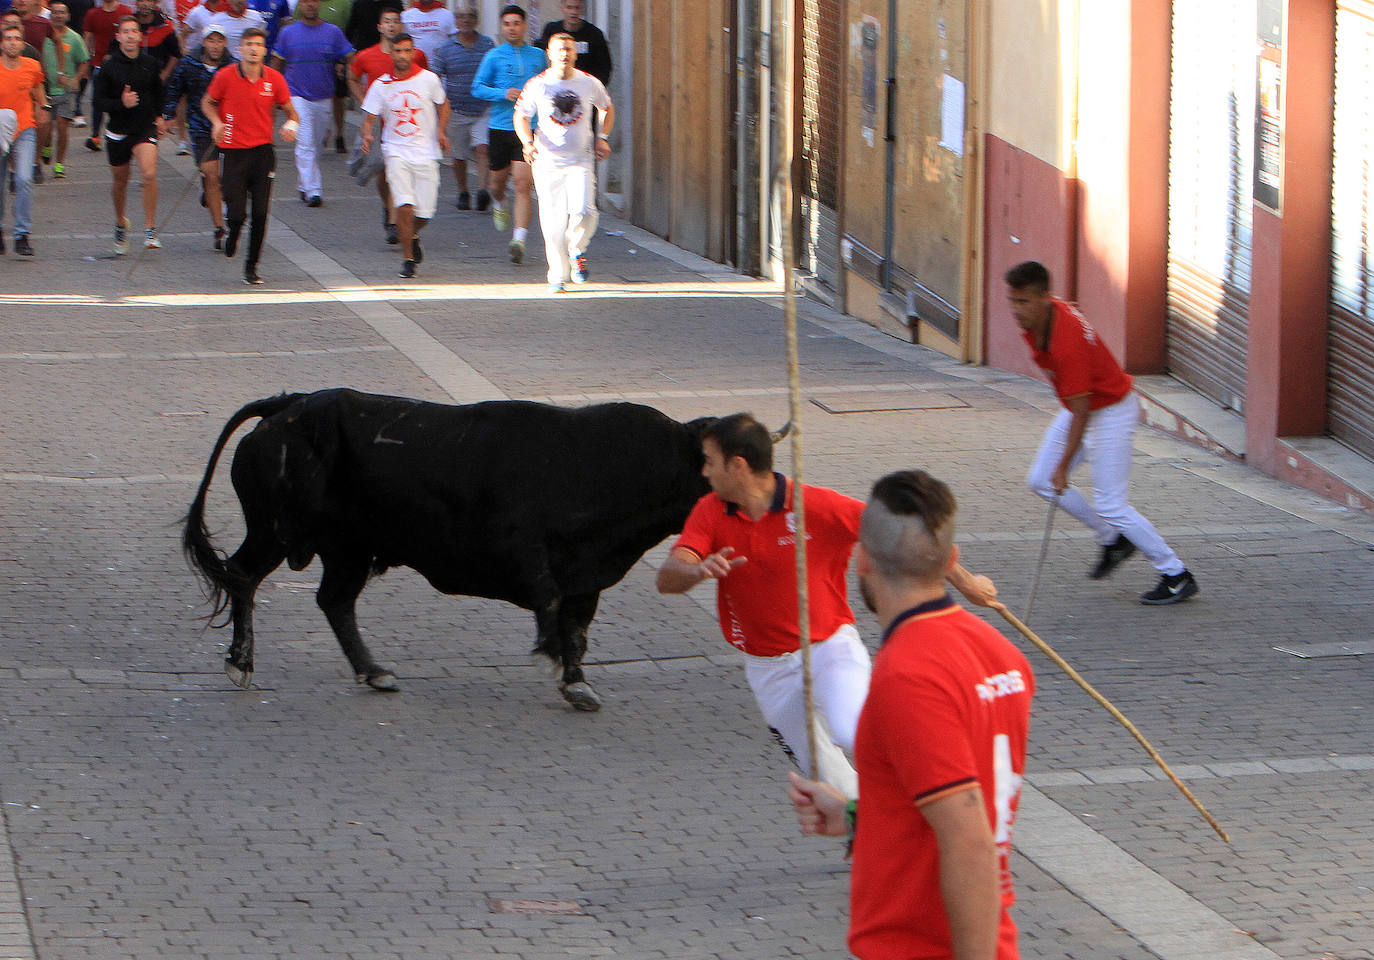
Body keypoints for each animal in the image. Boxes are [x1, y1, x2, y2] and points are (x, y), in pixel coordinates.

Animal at [184, 387, 725, 708]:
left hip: (348, 548)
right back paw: (240, 663)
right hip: (274, 531)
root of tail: (288, 406)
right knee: (242, 576)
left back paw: (374, 672)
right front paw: (552, 658)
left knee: (333, 600)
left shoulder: (586, 573)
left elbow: (577, 627)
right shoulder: (525, 547)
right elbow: (550, 601)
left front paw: (576, 683)